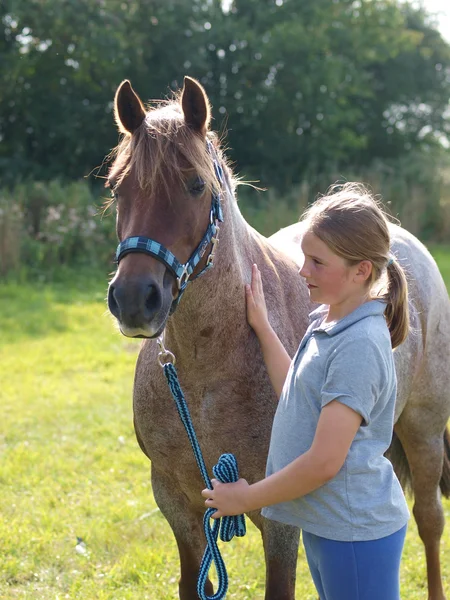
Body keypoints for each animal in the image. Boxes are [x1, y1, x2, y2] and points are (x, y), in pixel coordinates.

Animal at [106, 76, 450, 600]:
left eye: (196, 184)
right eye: (117, 188)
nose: (132, 299)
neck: (205, 373)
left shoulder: (280, 520)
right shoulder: (176, 503)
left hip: (423, 430)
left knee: (429, 520)